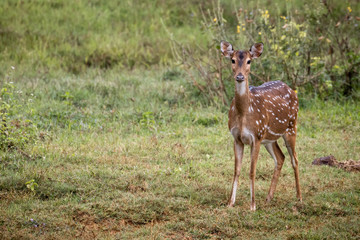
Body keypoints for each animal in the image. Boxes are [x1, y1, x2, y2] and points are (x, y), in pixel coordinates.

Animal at [221, 40, 302, 210]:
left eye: (249, 61)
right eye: (232, 60)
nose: (240, 76)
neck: (244, 112)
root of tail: (292, 90)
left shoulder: (256, 137)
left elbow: (252, 171)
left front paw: (252, 206)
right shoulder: (237, 138)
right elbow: (237, 170)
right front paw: (230, 203)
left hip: (291, 126)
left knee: (295, 159)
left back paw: (299, 197)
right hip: (269, 138)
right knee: (280, 158)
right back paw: (268, 198)